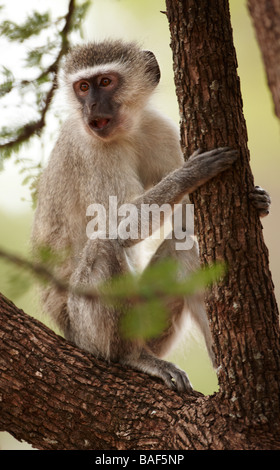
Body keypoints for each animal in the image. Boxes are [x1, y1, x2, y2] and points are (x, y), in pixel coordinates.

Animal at [31, 41, 270, 392]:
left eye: (105, 82)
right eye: (83, 87)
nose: (91, 106)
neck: (127, 131)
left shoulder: (159, 129)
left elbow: (184, 222)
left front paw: (259, 200)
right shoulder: (91, 151)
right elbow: (115, 224)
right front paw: (187, 175)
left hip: (152, 324)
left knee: (184, 246)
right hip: (87, 333)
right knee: (104, 246)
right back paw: (132, 357)